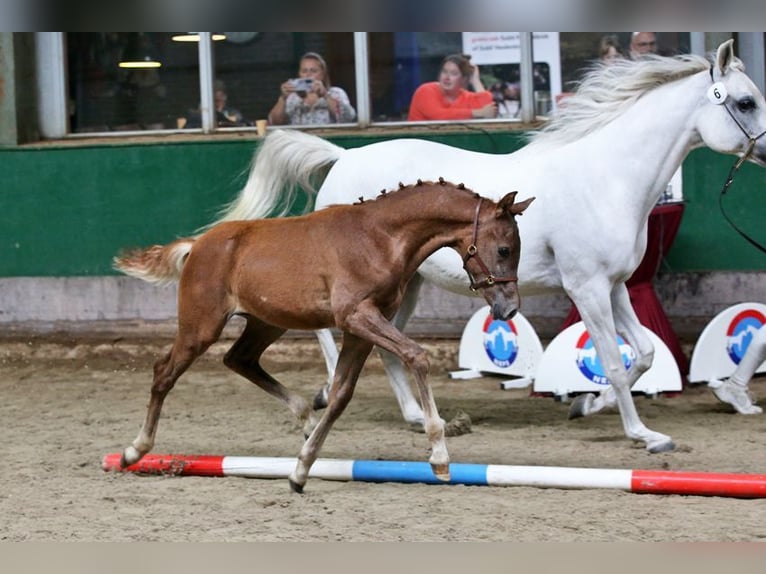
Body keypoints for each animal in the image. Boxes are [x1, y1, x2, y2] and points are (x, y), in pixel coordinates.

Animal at [114, 181, 536, 496]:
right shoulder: (357, 316)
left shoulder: (359, 329)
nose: (509, 309)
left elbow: (340, 396)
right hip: (201, 326)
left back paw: (304, 416)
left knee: (239, 359)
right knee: (164, 372)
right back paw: (134, 451)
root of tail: (197, 245)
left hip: (267, 323)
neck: (380, 238)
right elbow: (416, 356)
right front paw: (440, 457)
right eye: (504, 249)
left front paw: (300, 470)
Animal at [208, 40, 766, 454]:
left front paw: (587, 405)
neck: (608, 177)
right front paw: (643, 435)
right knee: (329, 330)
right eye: (745, 102)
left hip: (405, 287)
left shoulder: (616, 286)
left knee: (386, 346)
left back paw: (414, 417)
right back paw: (327, 392)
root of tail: (342, 157)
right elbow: (611, 357)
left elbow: (645, 353)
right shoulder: (586, 288)